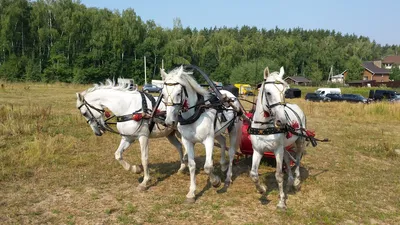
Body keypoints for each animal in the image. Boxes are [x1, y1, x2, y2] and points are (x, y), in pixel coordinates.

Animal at [161, 66, 242, 203]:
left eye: (178, 93)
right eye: (163, 94)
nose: (169, 121)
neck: (195, 113)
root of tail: (231, 95)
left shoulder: (208, 140)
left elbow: (208, 166)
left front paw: (215, 182)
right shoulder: (187, 141)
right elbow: (192, 165)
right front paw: (191, 193)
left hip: (233, 129)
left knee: (231, 152)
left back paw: (227, 177)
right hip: (217, 131)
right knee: (222, 141)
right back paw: (223, 165)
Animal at [250, 66, 306, 209]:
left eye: (285, 92)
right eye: (268, 93)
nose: (282, 121)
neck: (264, 127)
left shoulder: (277, 150)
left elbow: (279, 175)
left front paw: (281, 202)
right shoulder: (258, 150)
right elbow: (253, 174)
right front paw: (261, 189)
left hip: (299, 141)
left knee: (297, 159)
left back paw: (296, 181)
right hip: (284, 147)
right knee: (288, 159)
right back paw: (290, 181)